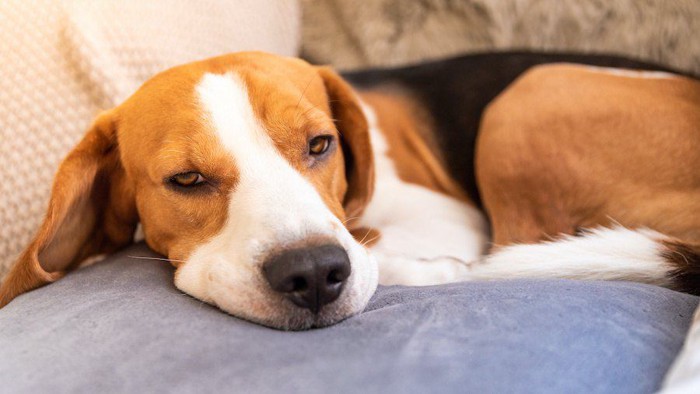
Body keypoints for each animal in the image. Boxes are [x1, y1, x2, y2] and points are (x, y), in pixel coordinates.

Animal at [1, 52, 700, 330]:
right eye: (188, 180)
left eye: (320, 144)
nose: (312, 274)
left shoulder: (448, 218)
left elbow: (386, 249)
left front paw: (424, 267)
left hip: (527, 96)